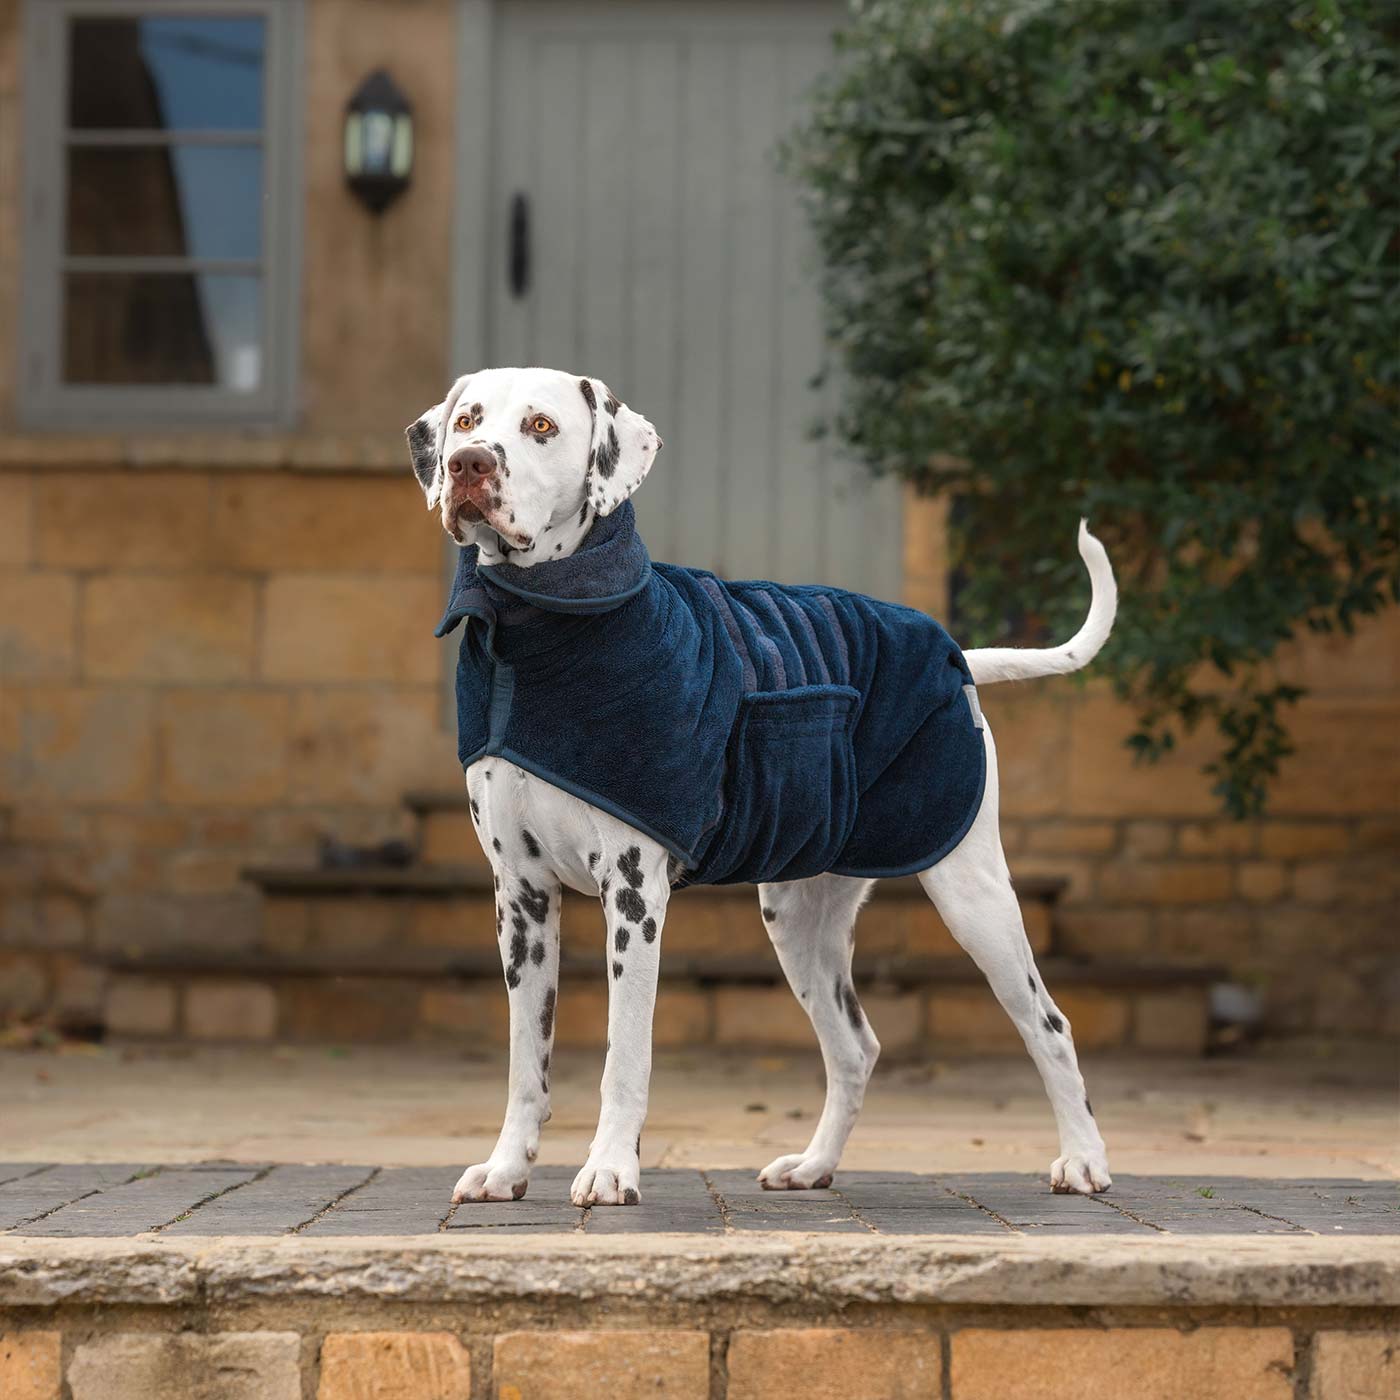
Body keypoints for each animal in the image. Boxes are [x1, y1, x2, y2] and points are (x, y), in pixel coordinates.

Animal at [406, 366, 1114, 1209]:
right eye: (469, 419)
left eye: (542, 426)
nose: (468, 464)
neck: (535, 631)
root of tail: (957, 658)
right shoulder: (521, 900)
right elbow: (525, 1061)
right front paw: (508, 1167)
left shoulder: (634, 896)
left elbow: (624, 1056)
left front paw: (610, 1168)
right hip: (799, 919)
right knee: (856, 1047)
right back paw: (813, 1165)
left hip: (974, 896)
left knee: (1050, 1025)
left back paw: (1084, 1160)